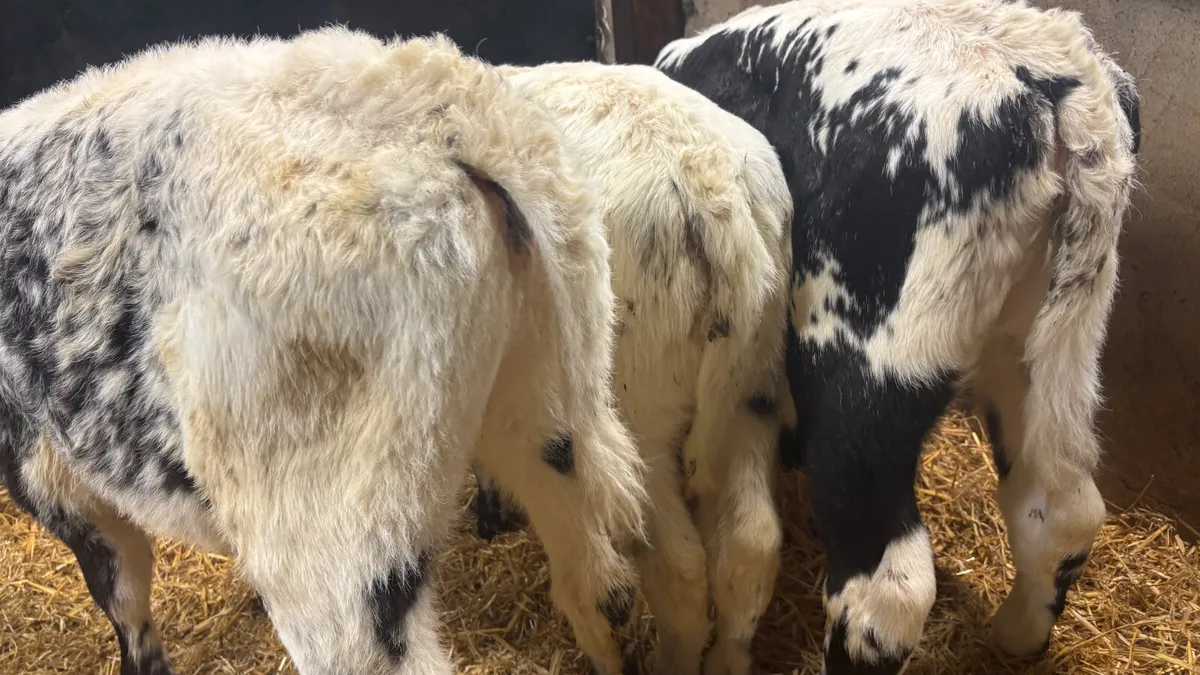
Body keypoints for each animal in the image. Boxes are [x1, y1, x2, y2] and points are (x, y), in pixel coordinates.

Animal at [0, 27, 647, 675]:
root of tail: (443, 108)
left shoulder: (49, 475)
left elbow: (122, 594)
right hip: (546, 413)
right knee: (599, 586)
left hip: (330, 539)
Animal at [471, 61, 795, 675]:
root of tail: (712, 197)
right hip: (753, 378)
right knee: (751, 543)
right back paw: (728, 657)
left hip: (636, 410)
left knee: (670, 570)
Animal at [654, 0, 1142, 672]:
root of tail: (1049, 78)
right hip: (1043, 342)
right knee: (1061, 510)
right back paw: (1017, 635)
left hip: (864, 360)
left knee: (885, 587)